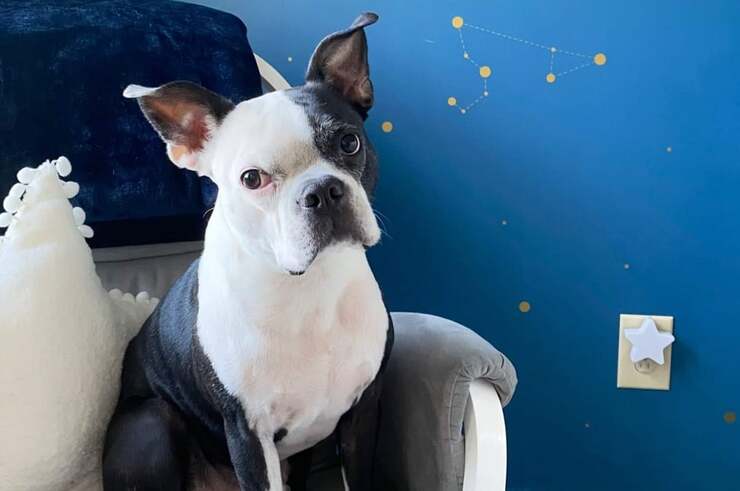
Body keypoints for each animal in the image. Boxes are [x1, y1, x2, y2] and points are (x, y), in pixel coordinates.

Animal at [102, 13, 393, 491]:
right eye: (251, 179)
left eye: (349, 142)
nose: (322, 191)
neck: (310, 287)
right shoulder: (248, 433)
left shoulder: (363, 412)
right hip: (151, 419)